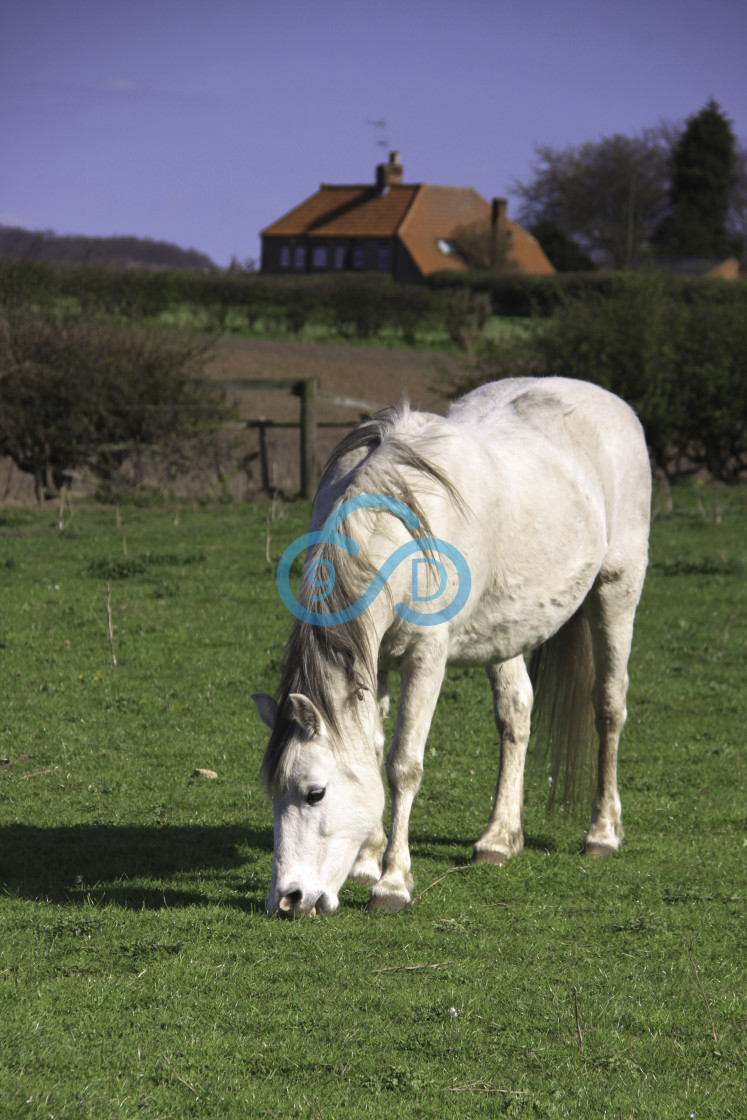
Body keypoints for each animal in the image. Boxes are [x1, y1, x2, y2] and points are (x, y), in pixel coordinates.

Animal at [250, 378, 649, 918]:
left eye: (315, 794)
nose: (288, 900)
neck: (393, 524)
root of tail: (610, 402)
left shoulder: (426, 657)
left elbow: (403, 765)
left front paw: (392, 883)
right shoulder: (374, 661)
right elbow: (372, 750)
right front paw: (367, 863)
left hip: (616, 591)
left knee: (609, 706)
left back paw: (602, 833)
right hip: (506, 630)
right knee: (517, 712)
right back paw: (499, 840)